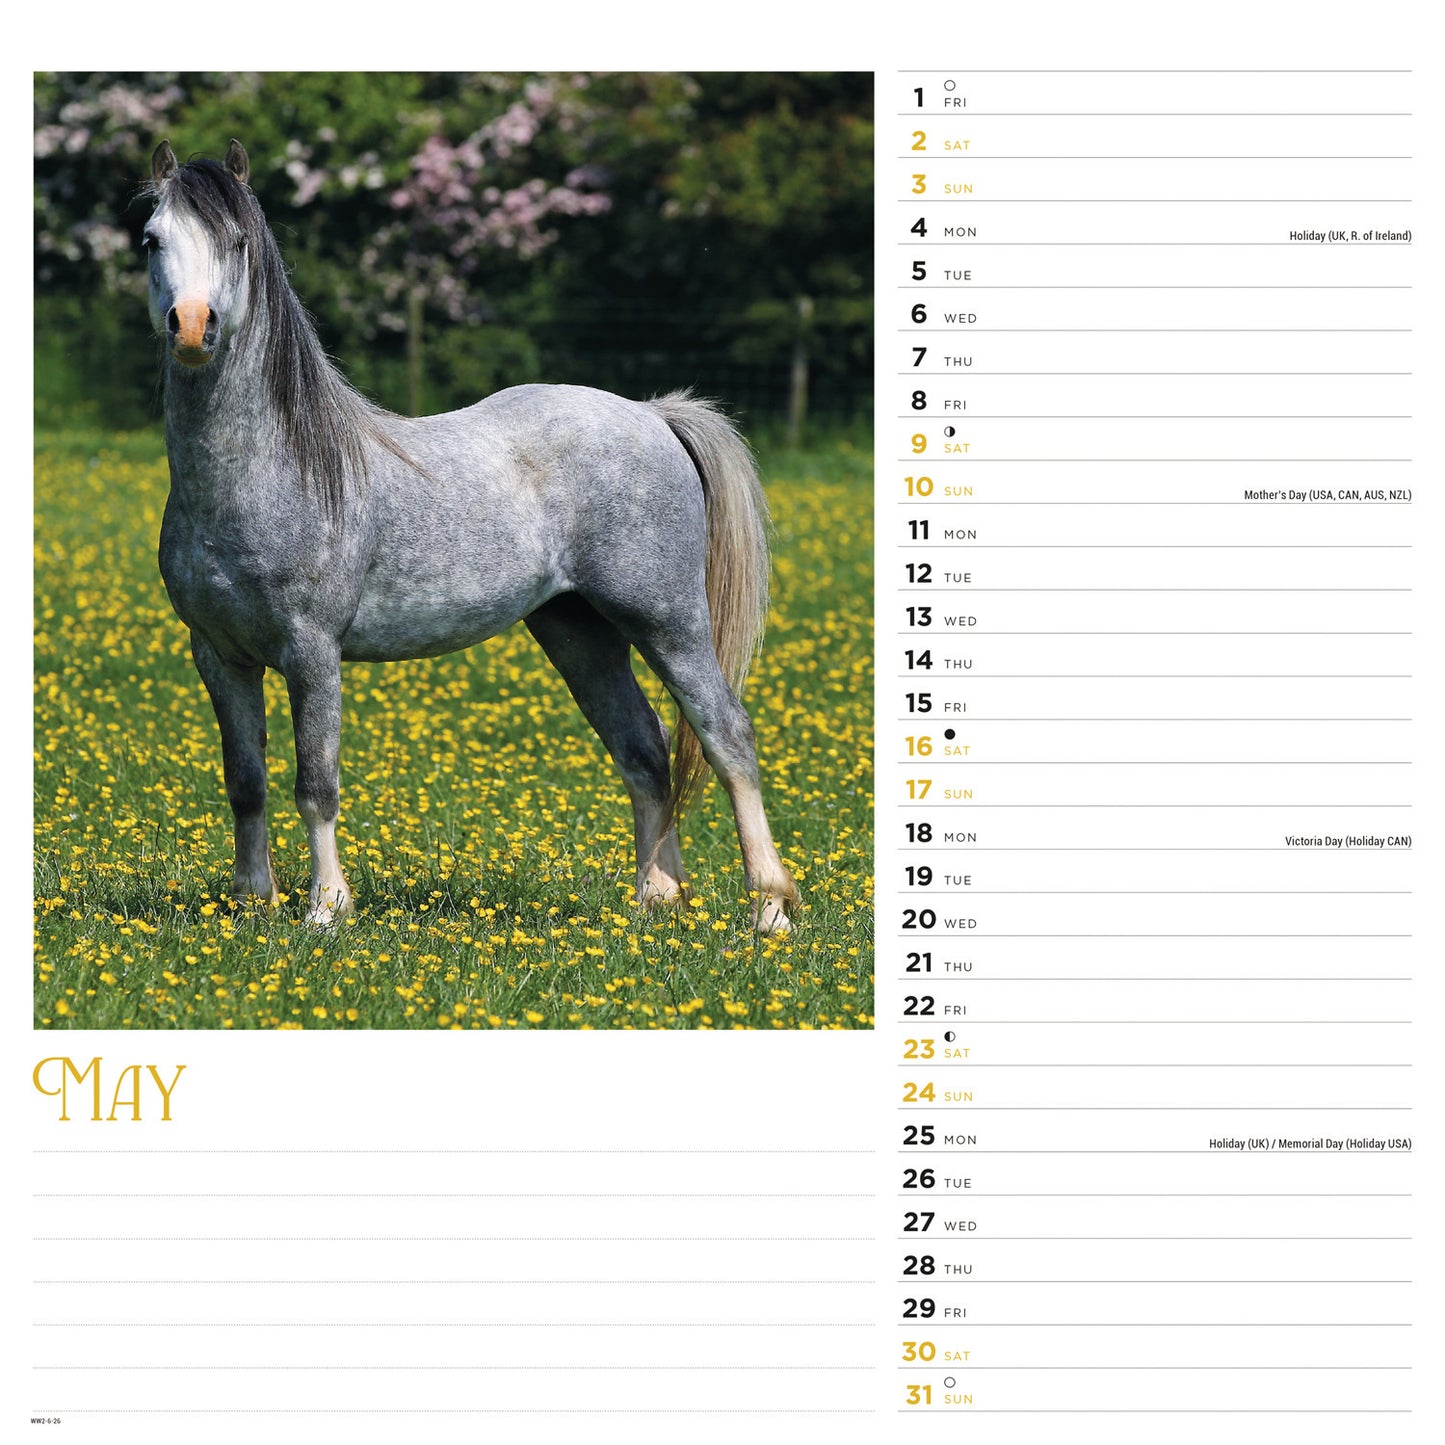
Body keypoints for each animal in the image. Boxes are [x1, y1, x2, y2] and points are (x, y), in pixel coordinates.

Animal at [142, 139, 799, 933]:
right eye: (151, 240)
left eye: (237, 242)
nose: (192, 326)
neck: (270, 470)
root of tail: (650, 414)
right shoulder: (218, 655)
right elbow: (245, 781)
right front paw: (250, 902)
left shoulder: (311, 650)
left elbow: (315, 782)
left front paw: (326, 910)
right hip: (577, 630)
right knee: (643, 747)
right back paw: (655, 898)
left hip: (666, 619)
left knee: (725, 735)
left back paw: (771, 908)